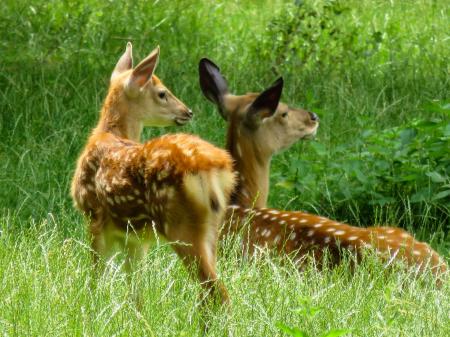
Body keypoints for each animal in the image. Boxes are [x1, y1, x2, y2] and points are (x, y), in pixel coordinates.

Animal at [70, 42, 236, 304]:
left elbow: (96, 277)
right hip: (212, 226)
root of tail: (214, 167)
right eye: (162, 93)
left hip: (181, 225)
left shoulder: (94, 216)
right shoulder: (135, 238)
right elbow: (135, 291)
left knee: (216, 292)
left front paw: (91, 307)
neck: (107, 134)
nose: (188, 111)